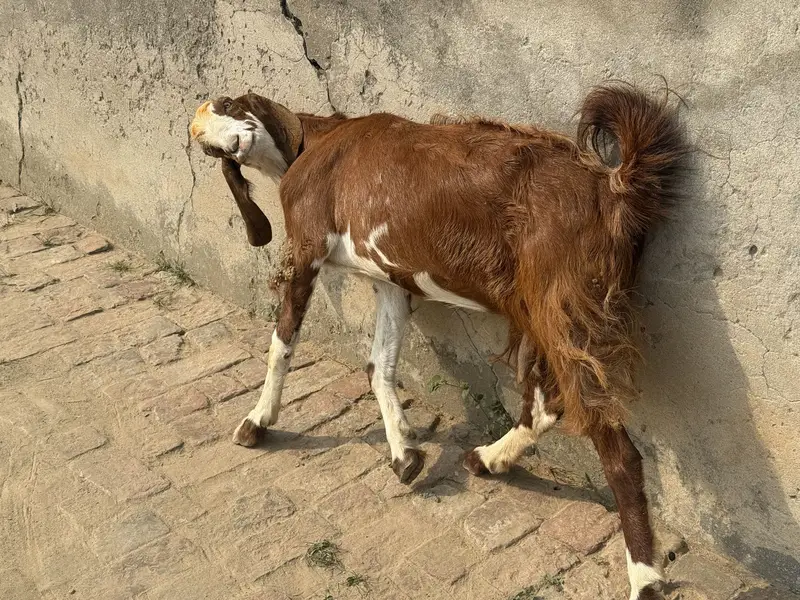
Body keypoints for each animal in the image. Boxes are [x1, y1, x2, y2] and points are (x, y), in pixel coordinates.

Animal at [190, 84, 686, 600]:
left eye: (228, 105)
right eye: (206, 149)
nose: (229, 144)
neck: (314, 141)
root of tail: (613, 188)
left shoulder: (308, 246)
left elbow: (282, 342)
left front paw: (256, 422)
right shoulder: (388, 280)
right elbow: (378, 366)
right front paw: (404, 454)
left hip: (563, 302)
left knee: (613, 444)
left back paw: (645, 577)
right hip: (551, 308)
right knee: (550, 401)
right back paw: (487, 458)